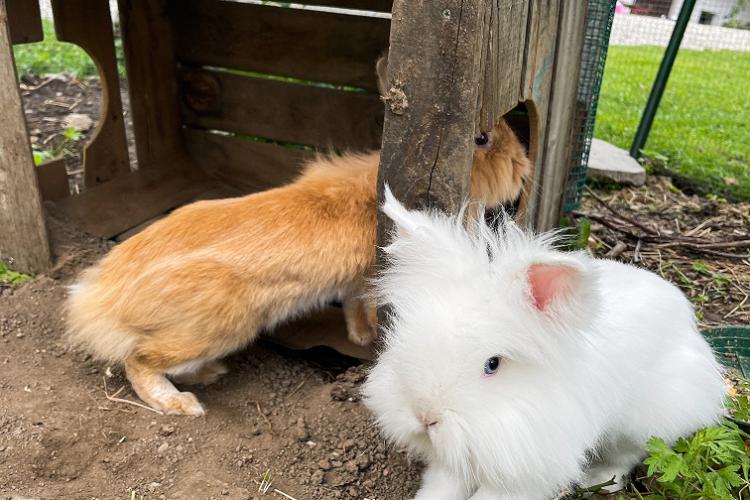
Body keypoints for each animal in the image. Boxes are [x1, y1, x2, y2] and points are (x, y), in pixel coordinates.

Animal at [66, 58, 536, 418]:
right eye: (481, 138)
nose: (523, 166)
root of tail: (101, 302)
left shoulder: (353, 282)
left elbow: (351, 306)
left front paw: (359, 337)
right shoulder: (366, 278)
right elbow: (362, 304)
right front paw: (368, 336)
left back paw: (209, 374)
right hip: (215, 325)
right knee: (138, 360)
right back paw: (182, 403)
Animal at [364, 188, 728, 500]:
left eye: (493, 364)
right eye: (404, 337)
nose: (425, 416)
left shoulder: (527, 468)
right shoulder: (458, 461)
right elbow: (442, 487)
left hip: (644, 421)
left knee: (629, 453)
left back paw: (600, 480)